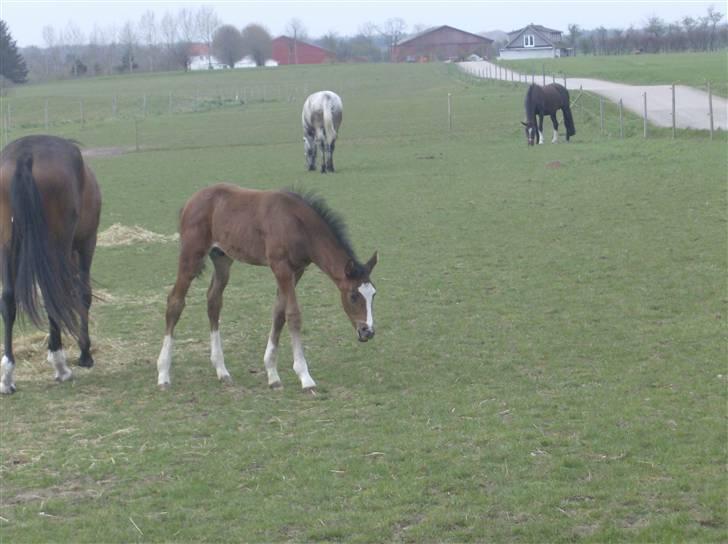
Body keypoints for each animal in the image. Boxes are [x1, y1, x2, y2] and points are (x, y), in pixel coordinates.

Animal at [0, 134, 102, 394]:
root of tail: (26, 154)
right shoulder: (86, 243)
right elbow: (83, 293)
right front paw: (84, 353)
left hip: (7, 244)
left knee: (8, 299)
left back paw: (7, 376)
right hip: (58, 244)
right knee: (53, 294)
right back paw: (60, 366)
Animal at [156, 187, 378, 392]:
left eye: (373, 294)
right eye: (353, 296)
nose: (367, 331)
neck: (297, 224)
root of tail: (191, 201)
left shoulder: (297, 270)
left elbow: (279, 313)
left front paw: (272, 375)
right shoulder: (280, 267)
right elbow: (293, 314)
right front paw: (305, 377)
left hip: (222, 258)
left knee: (214, 301)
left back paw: (222, 370)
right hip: (191, 255)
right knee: (175, 301)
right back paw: (164, 374)